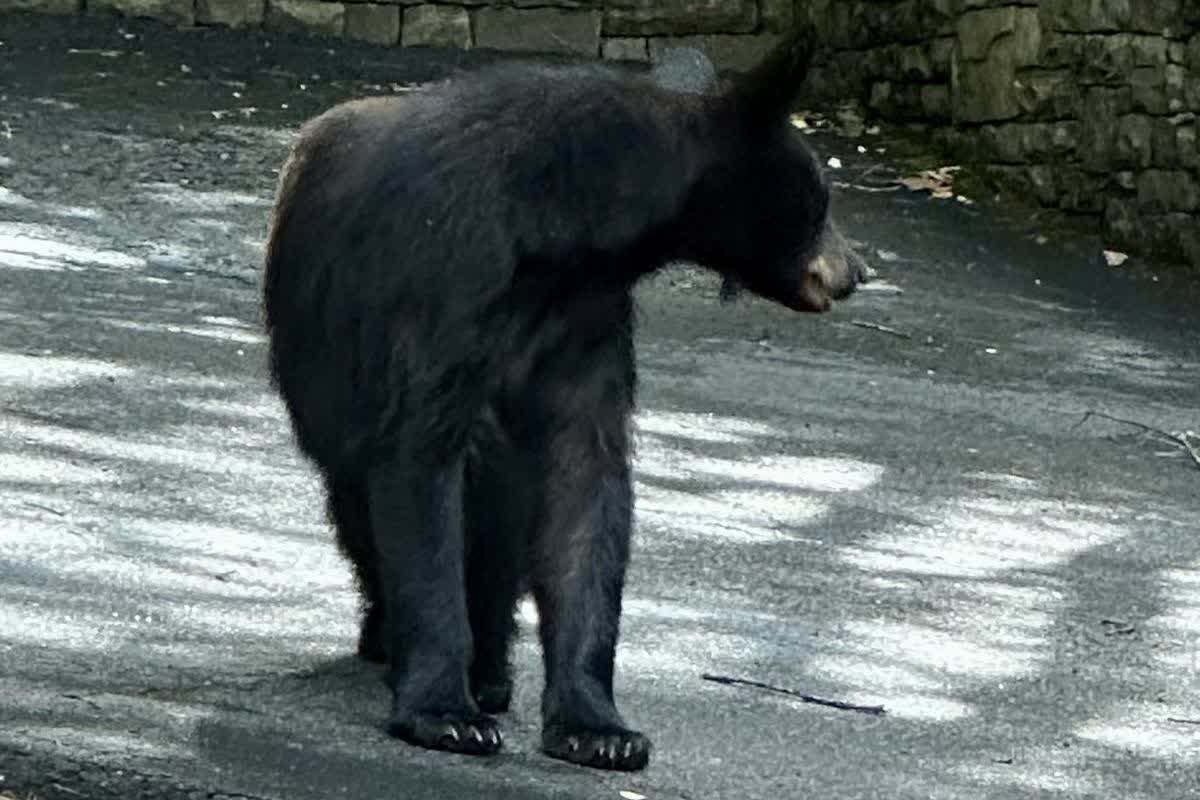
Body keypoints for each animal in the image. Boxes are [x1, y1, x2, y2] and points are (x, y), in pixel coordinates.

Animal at [261, 26, 865, 773]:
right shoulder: (445, 280)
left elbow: (585, 484)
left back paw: (490, 671)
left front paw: (597, 725)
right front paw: (443, 712)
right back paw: (397, 642)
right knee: (373, 504)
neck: (558, 233)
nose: (857, 271)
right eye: (821, 196)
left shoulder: (589, 321)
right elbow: (421, 459)